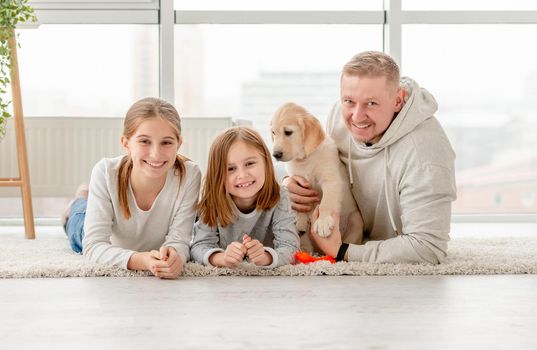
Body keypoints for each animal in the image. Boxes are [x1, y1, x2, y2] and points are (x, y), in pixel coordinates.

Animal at [270, 102, 362, 253]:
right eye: (273, 133)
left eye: (288, 132)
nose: (275, 155)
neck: (305, 159)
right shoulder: (297, 180)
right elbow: (301, 206)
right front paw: (300, 219)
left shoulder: (331, 180)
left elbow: (326, 202)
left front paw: (323, 221)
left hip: (356, 220)